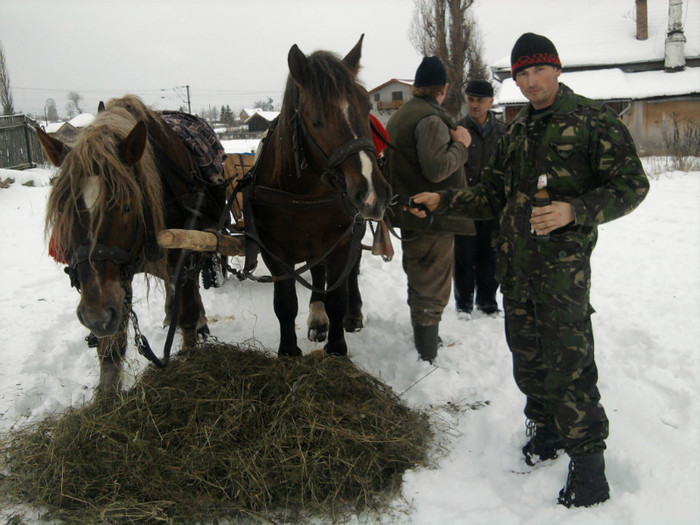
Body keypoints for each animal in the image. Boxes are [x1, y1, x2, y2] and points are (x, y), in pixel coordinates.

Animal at [39, 95, 224, 388]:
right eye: (61, 210)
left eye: (127, 207)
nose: (96, 318)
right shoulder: (118, 275)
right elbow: (112, 345)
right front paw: (107, 393)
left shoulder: (185, 254)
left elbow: (187, 314)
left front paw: (189, 360)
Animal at [243, 35, 392, 356]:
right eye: (315, 120)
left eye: (366, 107)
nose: (373, 193)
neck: (305, 195)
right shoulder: (274, 253)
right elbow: (285, 304)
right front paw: (288, 351)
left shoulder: (341, 245)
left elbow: (337, 298)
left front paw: (337, 348)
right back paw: (317, 317)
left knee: (350, 273)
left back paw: (352, 313)